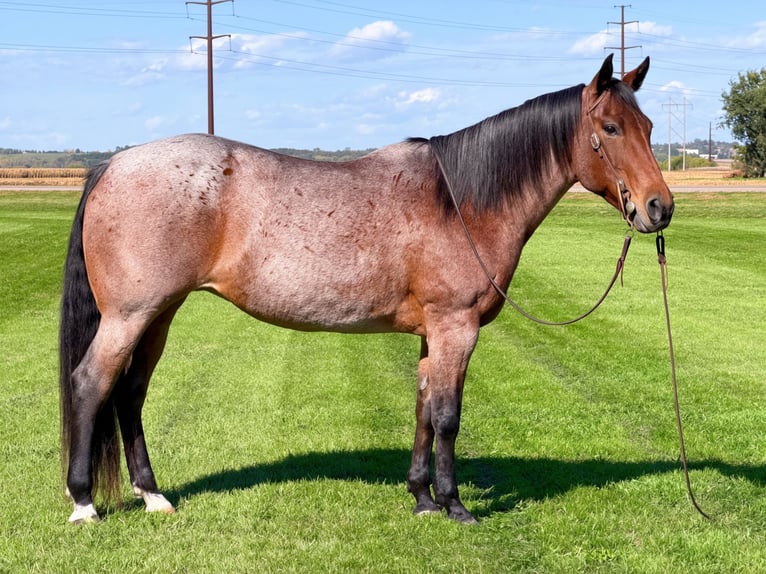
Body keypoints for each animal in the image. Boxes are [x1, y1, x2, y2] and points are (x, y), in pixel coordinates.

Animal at [60, 54, 673, 524]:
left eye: (648, 128)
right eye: (611, 129)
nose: (659, 208)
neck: (461, 203)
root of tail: (113, 165)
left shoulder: (433, 334)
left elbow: (424, 409)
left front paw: (422, 497)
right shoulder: (456, 327)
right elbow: (448, 417)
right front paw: (455, 506)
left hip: (159, 314)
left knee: (130, 392)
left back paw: (152, 495)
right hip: (131, 315)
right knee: (92, 385)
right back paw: (84, 503)